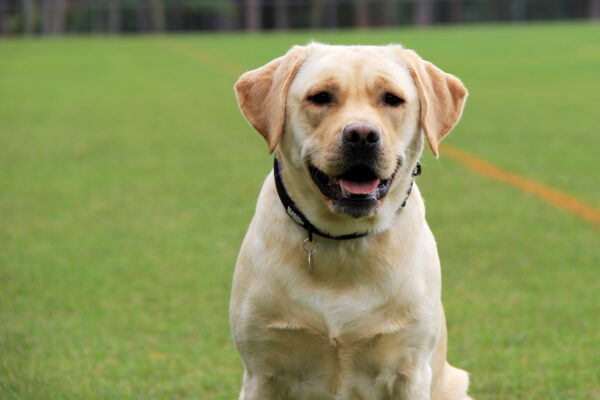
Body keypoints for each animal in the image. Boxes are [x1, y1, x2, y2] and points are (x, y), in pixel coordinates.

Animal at [232, 43, 472, 400]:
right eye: (320, 97)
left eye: (392, 99)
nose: (361, 135)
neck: (343, 242)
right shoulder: (261, 372)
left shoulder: (411, 370)